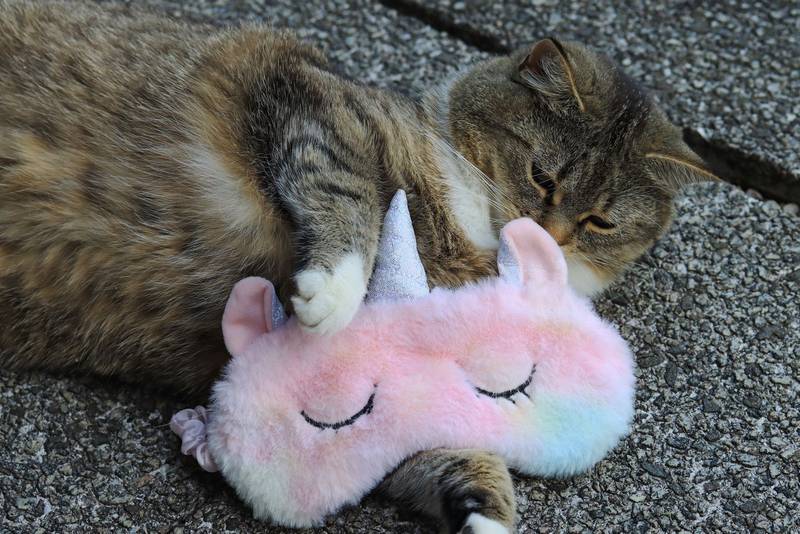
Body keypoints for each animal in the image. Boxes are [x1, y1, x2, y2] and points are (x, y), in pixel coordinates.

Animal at [0, 1, 715, 532]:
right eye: (542, 176)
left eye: (600, 223)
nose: (550, 233)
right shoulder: (309, 99)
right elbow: (354, 195)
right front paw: (333, 293)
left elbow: (437, 451)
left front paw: (483, 511)